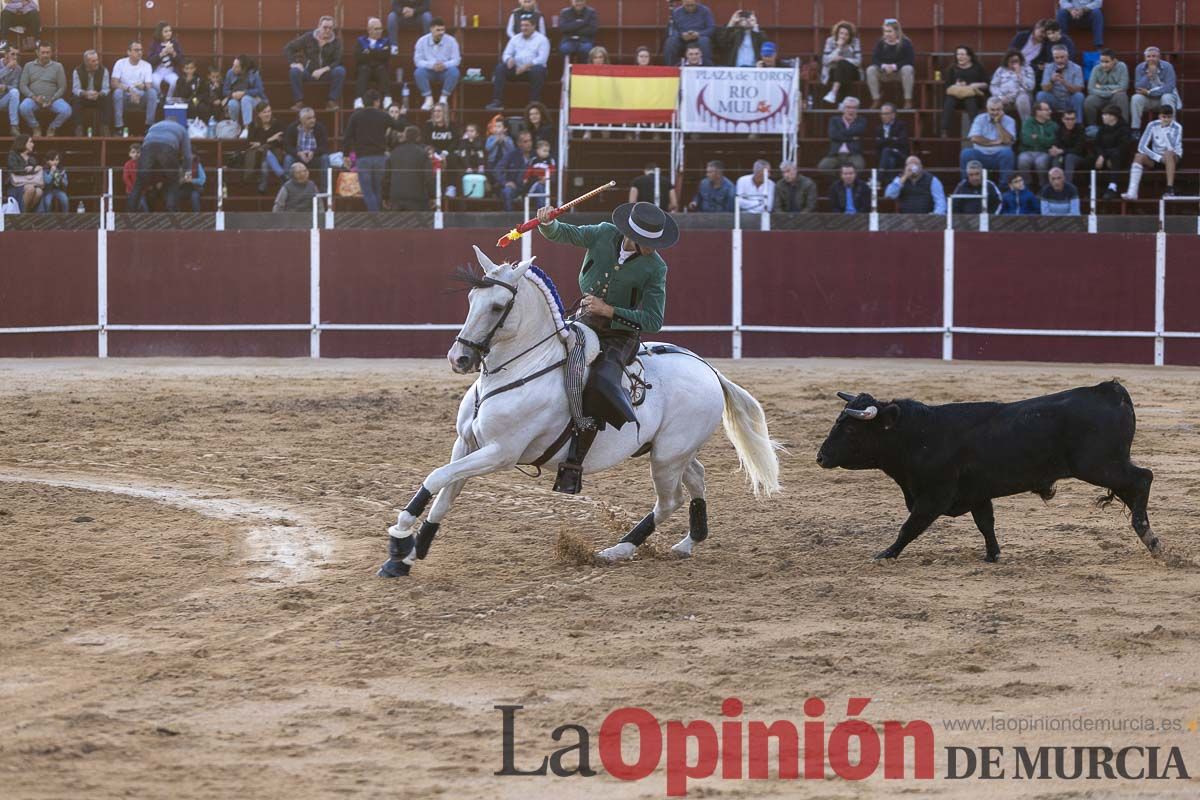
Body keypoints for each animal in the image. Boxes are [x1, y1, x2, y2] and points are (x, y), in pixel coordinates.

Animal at [379, 245, 782, 575]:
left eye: (497, 306)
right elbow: (446, 492)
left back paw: (617, 550)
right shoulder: (466, 444)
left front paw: (400, 536)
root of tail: (709, 370)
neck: (522, 369)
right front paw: (408, 555)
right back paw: (687, 542)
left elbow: (435, 478)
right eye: (470, 298)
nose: (459, 358)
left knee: (670, 500)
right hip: (673, 451)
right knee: (696, 479)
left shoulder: (500, 453)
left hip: (667, 457)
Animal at [811, 383, 1156, 563]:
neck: (919, 435)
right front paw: (992, 556)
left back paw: (1149, 538)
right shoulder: (977, 493)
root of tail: (1110, 391)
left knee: (1144, 478)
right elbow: (985, 524)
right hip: (1108, 467)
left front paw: (885, 554)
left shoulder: (935, 496)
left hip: (1100, 466)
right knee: (1134, 488)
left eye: (851, 430)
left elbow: (909, 527)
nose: (821, 457)